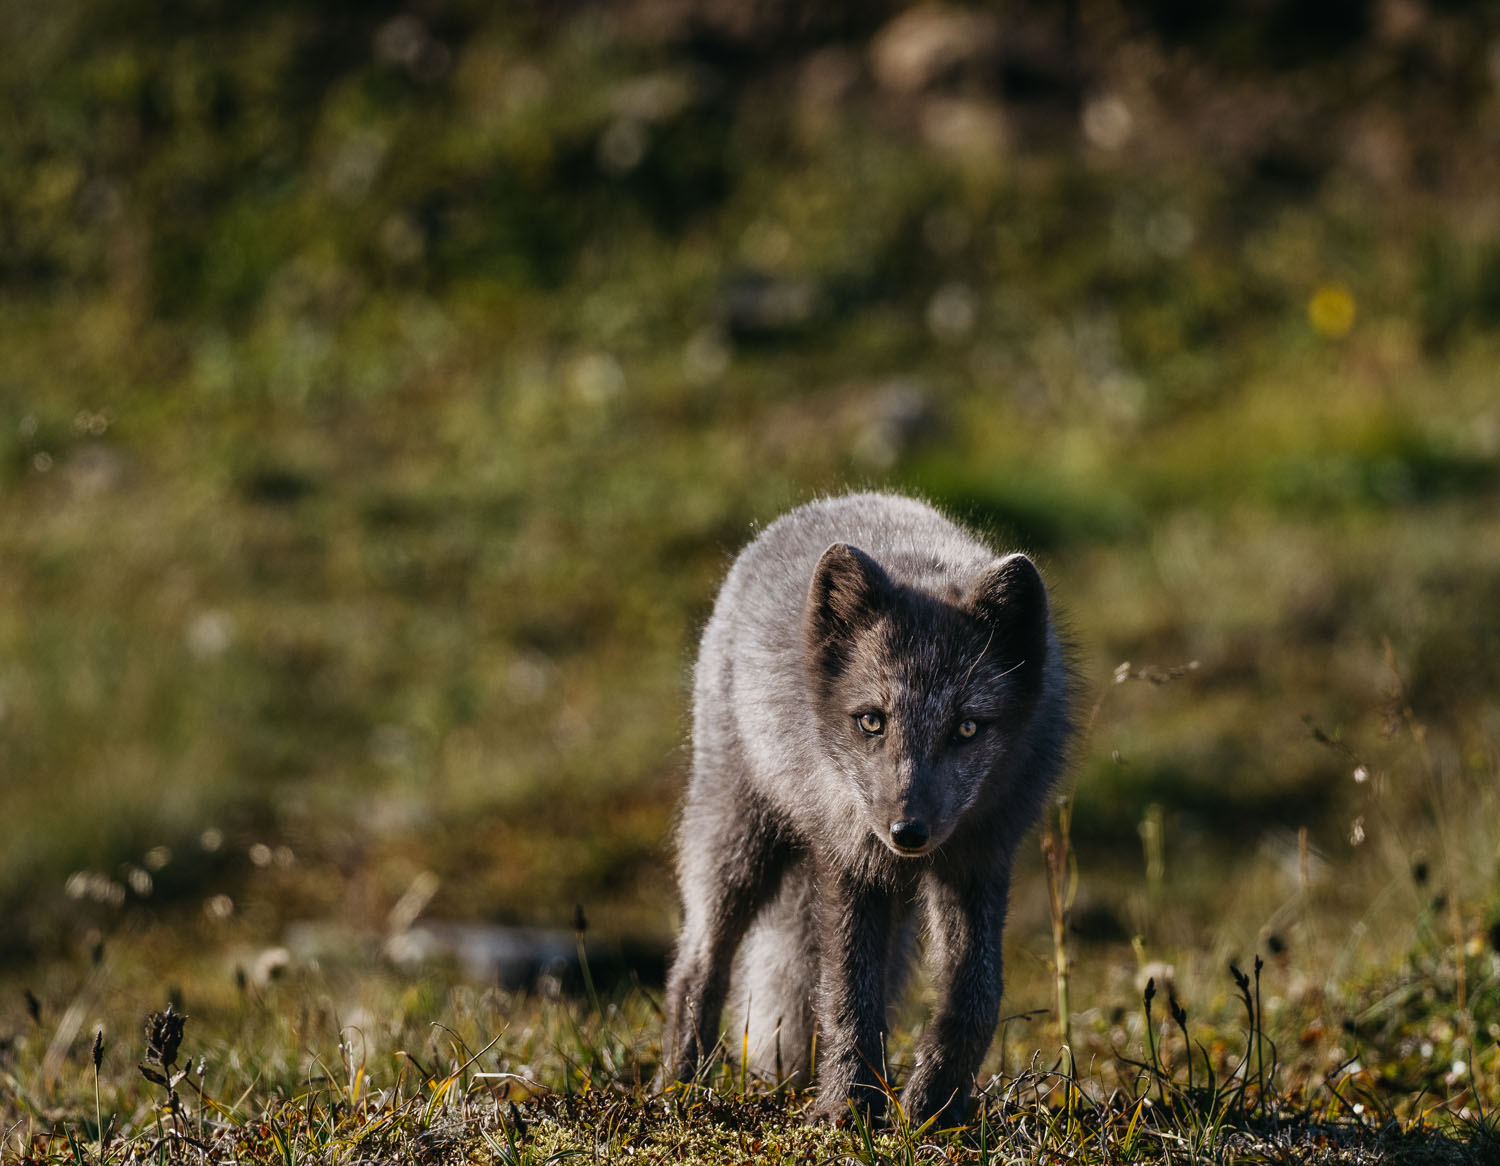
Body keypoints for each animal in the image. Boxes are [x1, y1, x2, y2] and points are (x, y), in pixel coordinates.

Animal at [661, 492, 1072, 1126]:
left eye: (967, 728)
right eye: (872, 721)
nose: (908, 832)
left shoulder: (979, 858)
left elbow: (976, 992)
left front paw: (935, 1106)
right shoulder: (849, 862)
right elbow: (847, 995)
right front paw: (845, 1110)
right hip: (740, 839)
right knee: (697, 962)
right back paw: (681, 1083)